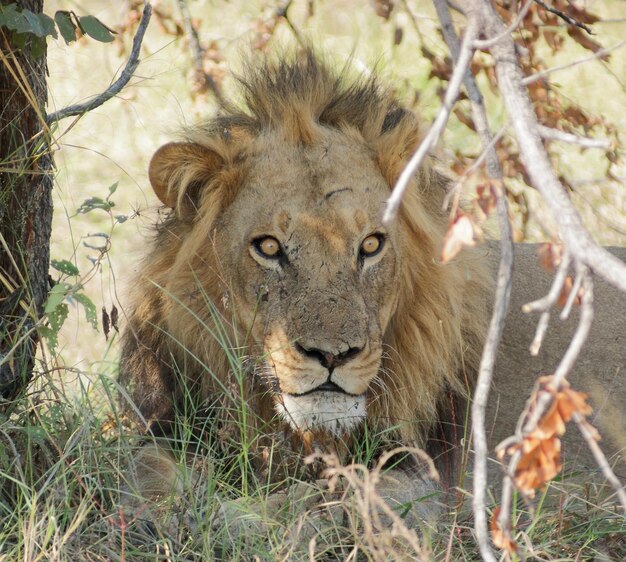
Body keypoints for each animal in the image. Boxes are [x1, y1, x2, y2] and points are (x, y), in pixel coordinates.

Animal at [120, 50, 492, 524]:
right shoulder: (168, 426)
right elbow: (144, 468)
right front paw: (166, 512)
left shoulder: (422, 480)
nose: (332, 356)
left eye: (371, 245)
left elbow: (330, 502)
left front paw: (244, 518)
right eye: (268, 247)